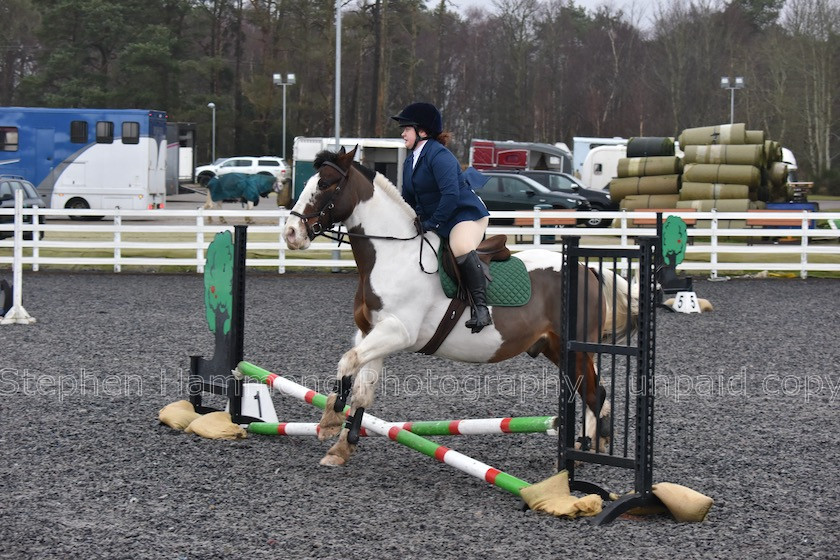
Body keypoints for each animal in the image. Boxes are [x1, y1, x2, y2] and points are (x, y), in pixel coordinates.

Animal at [282, 147, 636, 466]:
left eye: (325, 184)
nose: (291, 234)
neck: (392, 255)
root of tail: (589, 269)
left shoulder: (397, 332)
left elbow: (347, 362)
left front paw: (330, 420)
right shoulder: (372, 333)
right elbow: (360, 386)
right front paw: (342, 446)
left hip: (575, 349)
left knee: (594, 394)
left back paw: (587, 450)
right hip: (555, 347)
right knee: (592, 393)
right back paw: (594, 445)